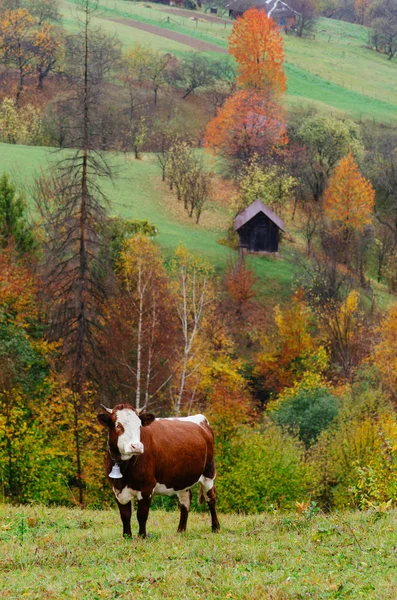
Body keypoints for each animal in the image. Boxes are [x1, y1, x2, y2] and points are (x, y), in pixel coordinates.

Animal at [96, 404, 220, 540]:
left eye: (139, 425)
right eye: (118, 425)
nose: (137, 446)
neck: (124, 470)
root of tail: (201, 419)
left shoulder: (147, 487)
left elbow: (141, 515)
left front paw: (142, 537)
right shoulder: (117, 489)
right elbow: (125, 515)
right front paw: (126, 536)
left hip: (209, 472)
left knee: (211, 498)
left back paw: (215, 528)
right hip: (182, 478)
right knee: (185, 500)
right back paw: (180, 531)